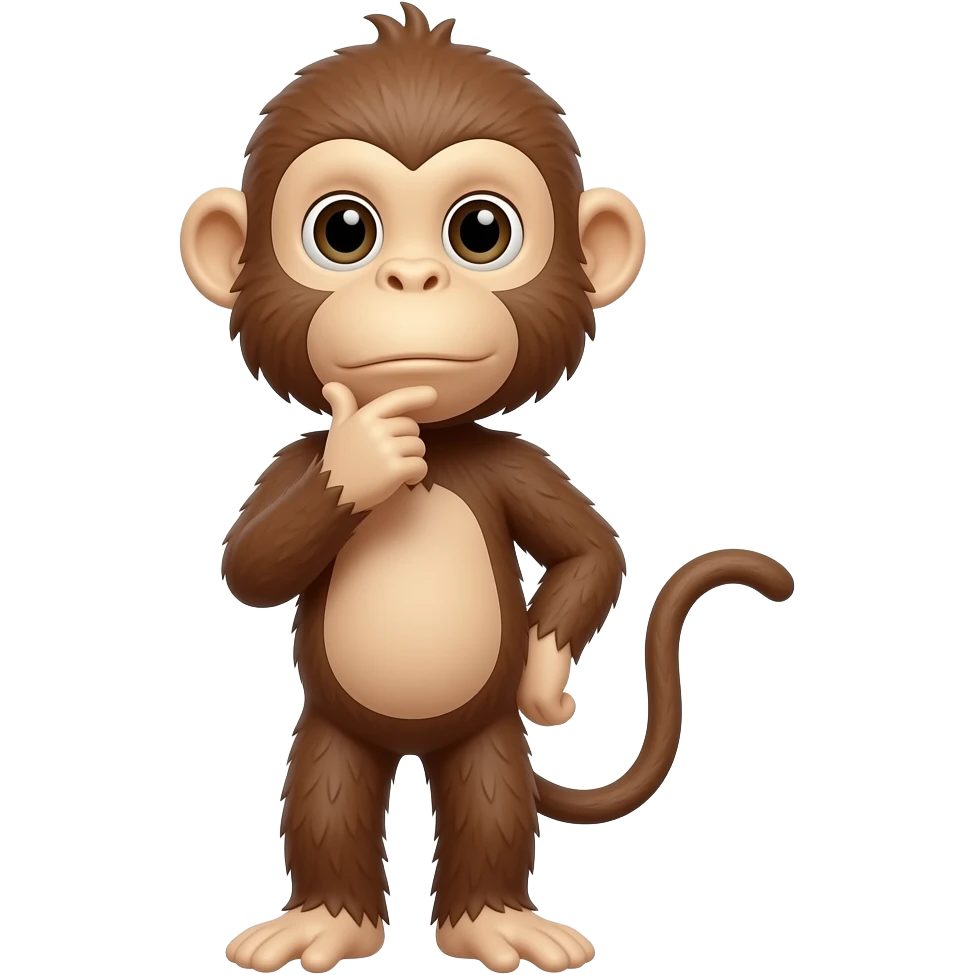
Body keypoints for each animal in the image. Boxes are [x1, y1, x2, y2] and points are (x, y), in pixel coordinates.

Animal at [179, 5, 796, 972]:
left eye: (480, 231)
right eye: (343, 231)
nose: (412, 278)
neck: (434, 441)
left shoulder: (512, 464)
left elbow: (590, 549)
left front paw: (544, 681)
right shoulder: (291, 460)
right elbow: (249, 564)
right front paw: (363, 453)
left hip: (479, 738)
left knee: (490, 795)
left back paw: (494, 921)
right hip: (333, 728)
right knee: (325, 790)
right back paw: (326, 921)